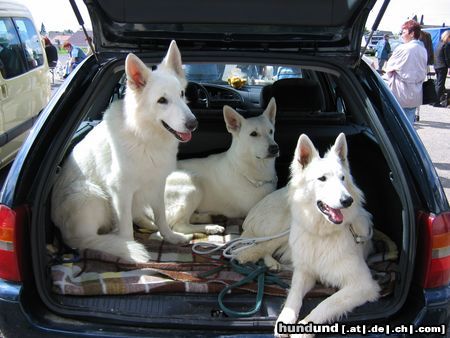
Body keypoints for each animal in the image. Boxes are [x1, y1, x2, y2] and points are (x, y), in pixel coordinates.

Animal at [50, 40, 195, 264]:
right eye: (162, 100)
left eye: (181, 94)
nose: (193, 124)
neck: (143, 136)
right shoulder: (121, 191)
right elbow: (126, 228)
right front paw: (129, 250)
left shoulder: (157, 184)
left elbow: (161, 216)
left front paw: (169, 236)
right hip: (89, 195)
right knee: (84, 240)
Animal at [236, 133, 380, 336]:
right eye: (322, 179)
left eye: (343, 178)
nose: (347, 200)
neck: (322, 234)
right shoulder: (303, 272)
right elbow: (294, 296)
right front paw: (285, 319)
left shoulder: (362, 284)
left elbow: (326, 304)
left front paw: (303, 329)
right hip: (286, 226)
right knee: (263, 244)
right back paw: (248, 255)